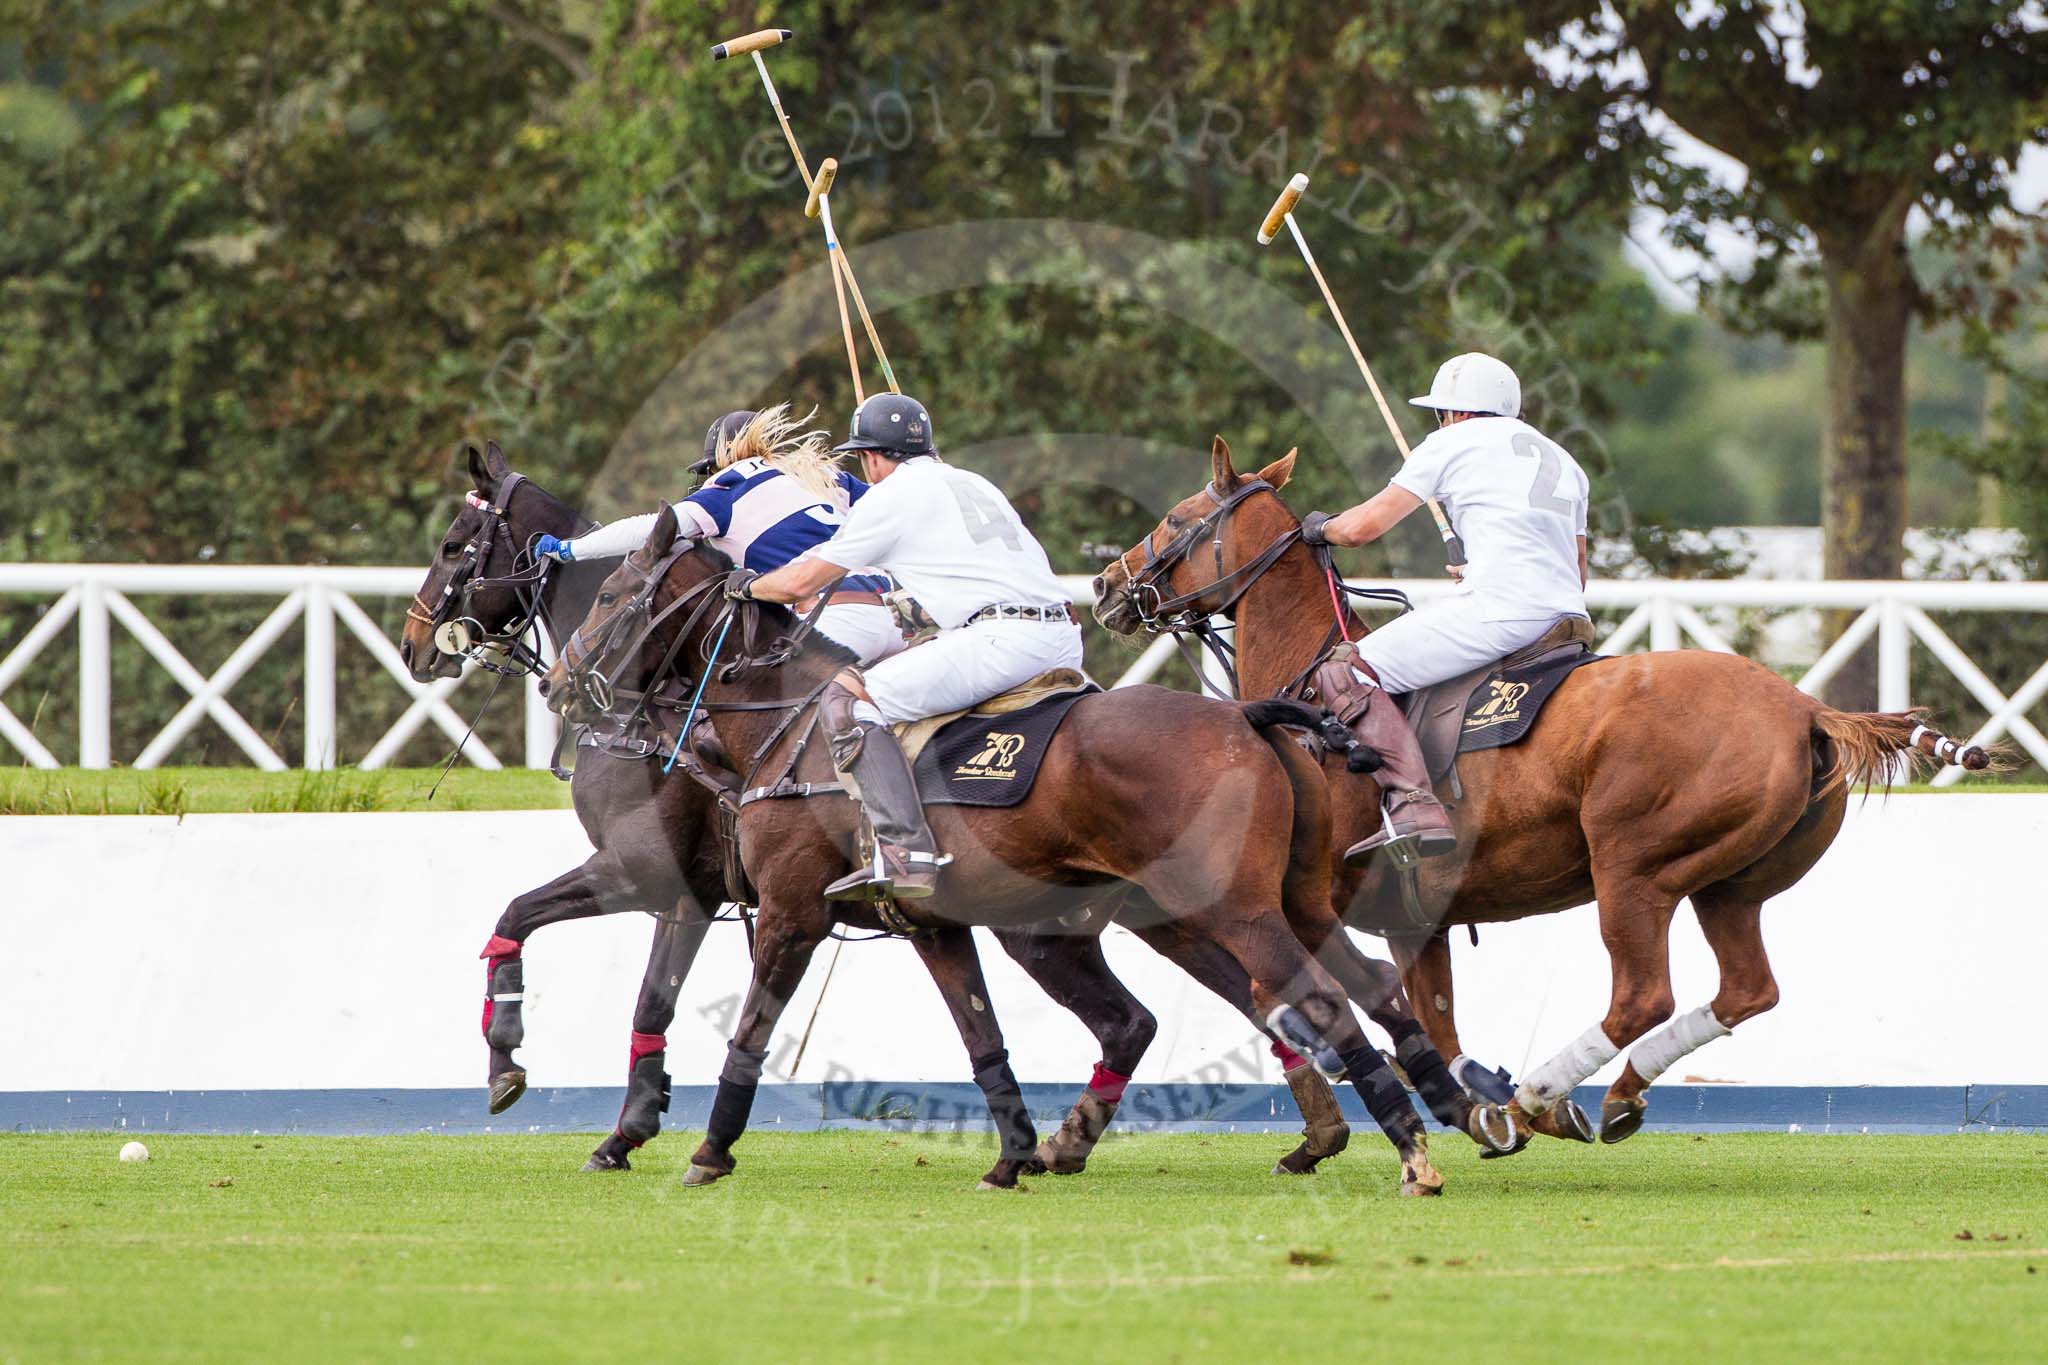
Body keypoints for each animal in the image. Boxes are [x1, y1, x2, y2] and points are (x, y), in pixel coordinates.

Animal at [544, 509, 1523, 1195]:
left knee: (1312, 1001)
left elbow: (748, 1030)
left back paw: (1415, 1151)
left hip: (1231, 907)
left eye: (612, 595)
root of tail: (1245, 713)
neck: (786, 724)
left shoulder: (788, 912)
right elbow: (983, 1037)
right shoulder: (932, 924)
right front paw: (1012, 1155)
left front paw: (707, 1150)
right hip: (1264, 903)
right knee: (1352, 988)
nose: (561, 685)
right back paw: (1451, 1111)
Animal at [1097, 437, 1990, 1146]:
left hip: (1634, 866)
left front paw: (1450, 1108)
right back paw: (1608, 1098)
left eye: (1176, 518)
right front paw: (1466, 1101)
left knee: (1641, 993)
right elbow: (1430, 1018)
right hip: (1732, 883)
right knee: (1747, 988)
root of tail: (1806, 706)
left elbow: (1293, 997)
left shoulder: (1319, 899)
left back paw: (1540, 1095)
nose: (1108, 584)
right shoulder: (1417, 918)